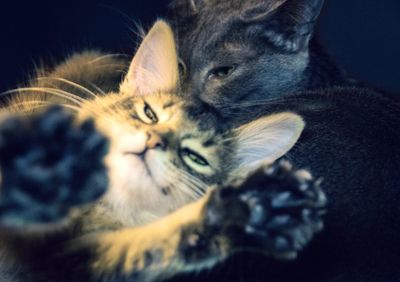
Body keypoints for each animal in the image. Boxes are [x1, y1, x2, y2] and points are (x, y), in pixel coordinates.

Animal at [0, 20, 324, 280]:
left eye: (195, 157)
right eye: (149, 114)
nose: (153, 141)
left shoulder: (69, 259)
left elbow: (147, 247)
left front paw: (248, 213)